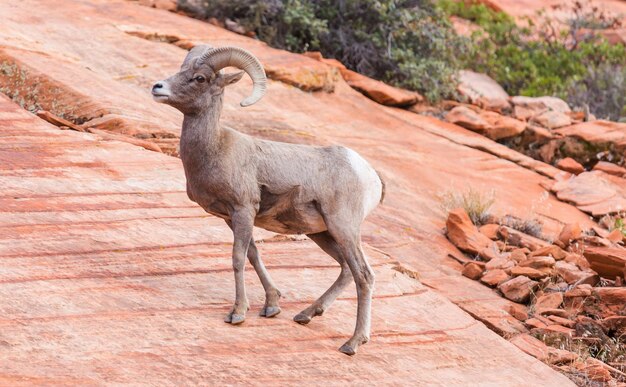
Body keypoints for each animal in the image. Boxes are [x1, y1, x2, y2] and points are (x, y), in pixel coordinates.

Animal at [154, 44, 382, 354]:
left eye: (200, 78)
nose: (157, 87)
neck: (215, 148)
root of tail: (371, 177)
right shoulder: (232, 217)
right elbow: (253, 255)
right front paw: (272, 306)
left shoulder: (242, 210)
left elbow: (238, 258)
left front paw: (237, 314)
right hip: (322, 234)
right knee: (347, 270)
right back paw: (306, 315)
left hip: (343, 228)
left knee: (364, 275)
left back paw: (353, 343)